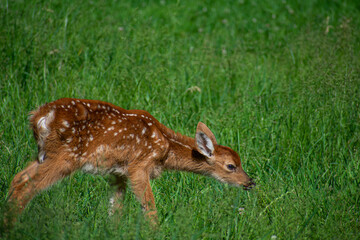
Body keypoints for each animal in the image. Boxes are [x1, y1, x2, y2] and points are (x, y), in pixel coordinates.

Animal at [7, 97, 255, 223]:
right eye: (231, 166)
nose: (250, 182)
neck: (165, 147)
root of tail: (38, 118)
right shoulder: (139, 165)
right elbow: (150, 208)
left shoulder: (118, 173)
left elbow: (115, 210)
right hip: (66, 156)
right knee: (26, 187)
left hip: (44, 154)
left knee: (17, 178)